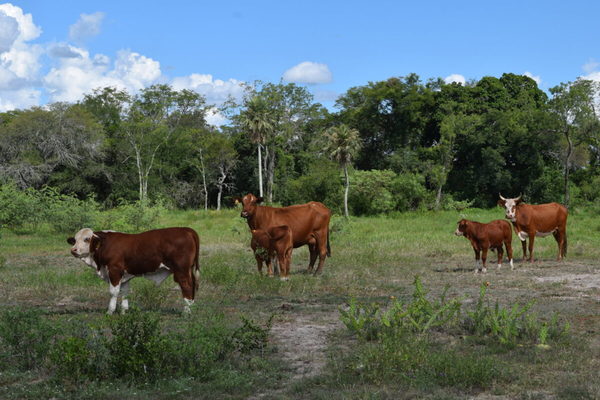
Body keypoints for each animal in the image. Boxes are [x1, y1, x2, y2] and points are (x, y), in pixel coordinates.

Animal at [66, 227, 199, 314]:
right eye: (75, 240)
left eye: (87, 239)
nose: (73, 250)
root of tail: (186, 230)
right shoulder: (124, 275)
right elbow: (125, 292)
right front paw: (124, 311)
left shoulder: (115, 271)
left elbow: (113, 292)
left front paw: (110, 311)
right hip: (188, 270)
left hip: (181, 271)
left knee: (187, 286)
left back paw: (186, 312)